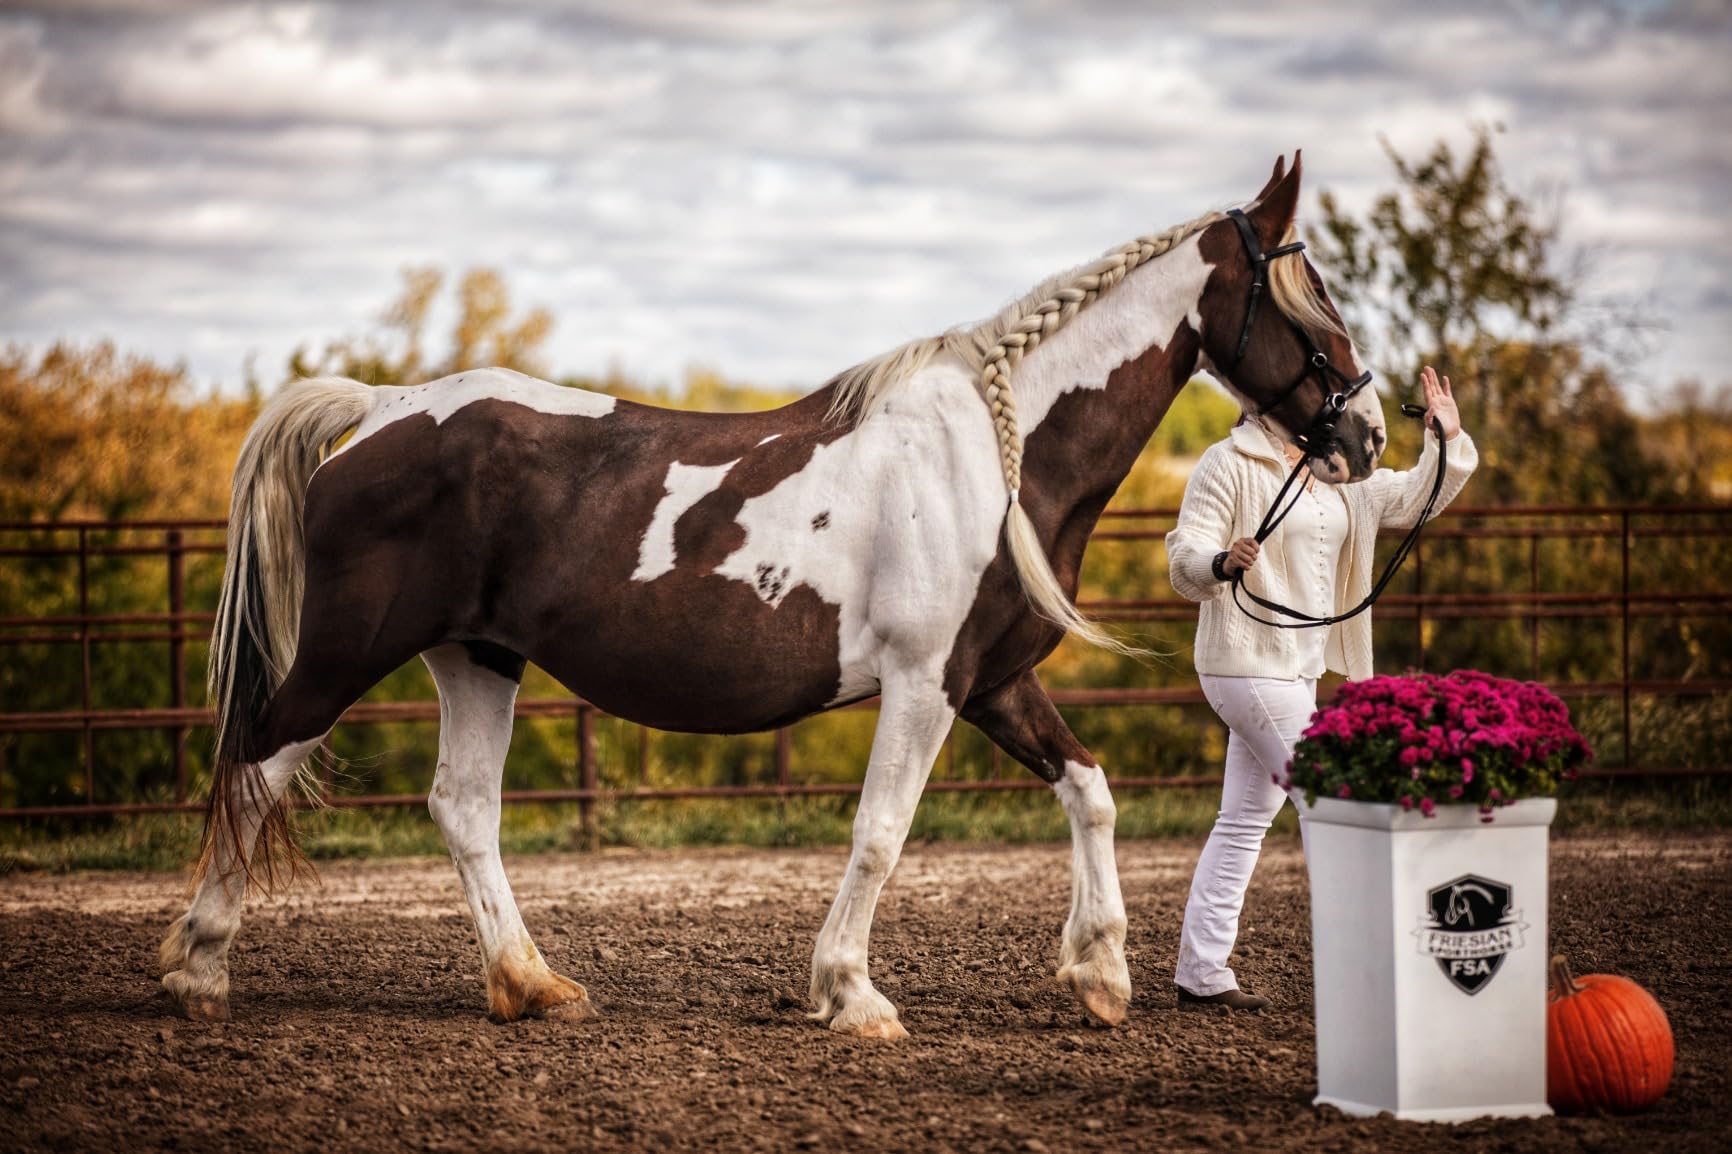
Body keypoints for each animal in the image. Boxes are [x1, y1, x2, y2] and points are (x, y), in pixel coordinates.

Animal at [159, 152, 1385, 1036]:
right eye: (1307, 291)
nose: (1368, 433)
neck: (994, 456)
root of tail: (379, 408)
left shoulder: (992, 681)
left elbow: (1091, 793)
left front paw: (1100, 974)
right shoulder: (924, 683)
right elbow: (883, 832)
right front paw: (852, 992)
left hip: (477, 657)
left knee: (462, 808)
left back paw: (530, 984)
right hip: (344, 654)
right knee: (258, 764)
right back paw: (198, 969)